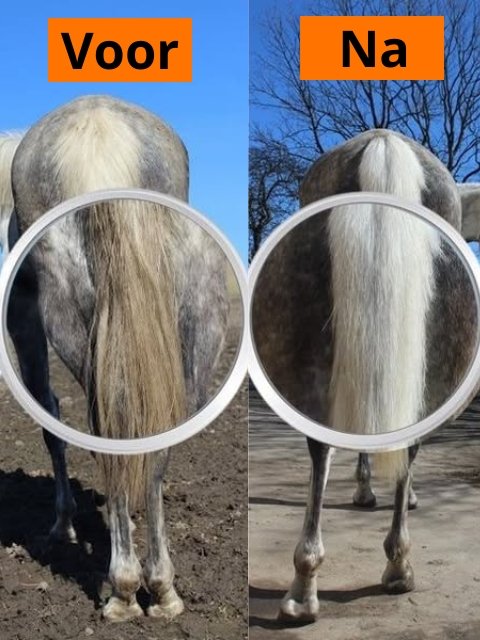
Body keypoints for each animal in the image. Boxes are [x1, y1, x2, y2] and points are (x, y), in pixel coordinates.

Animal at [0, 95, 229, 621]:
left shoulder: (22, 316)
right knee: (159, 437)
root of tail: (100, 132)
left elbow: (49, 418)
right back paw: (161, 588)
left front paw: (62, 525)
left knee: (108, 434)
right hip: (198, 321)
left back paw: (124, 588)